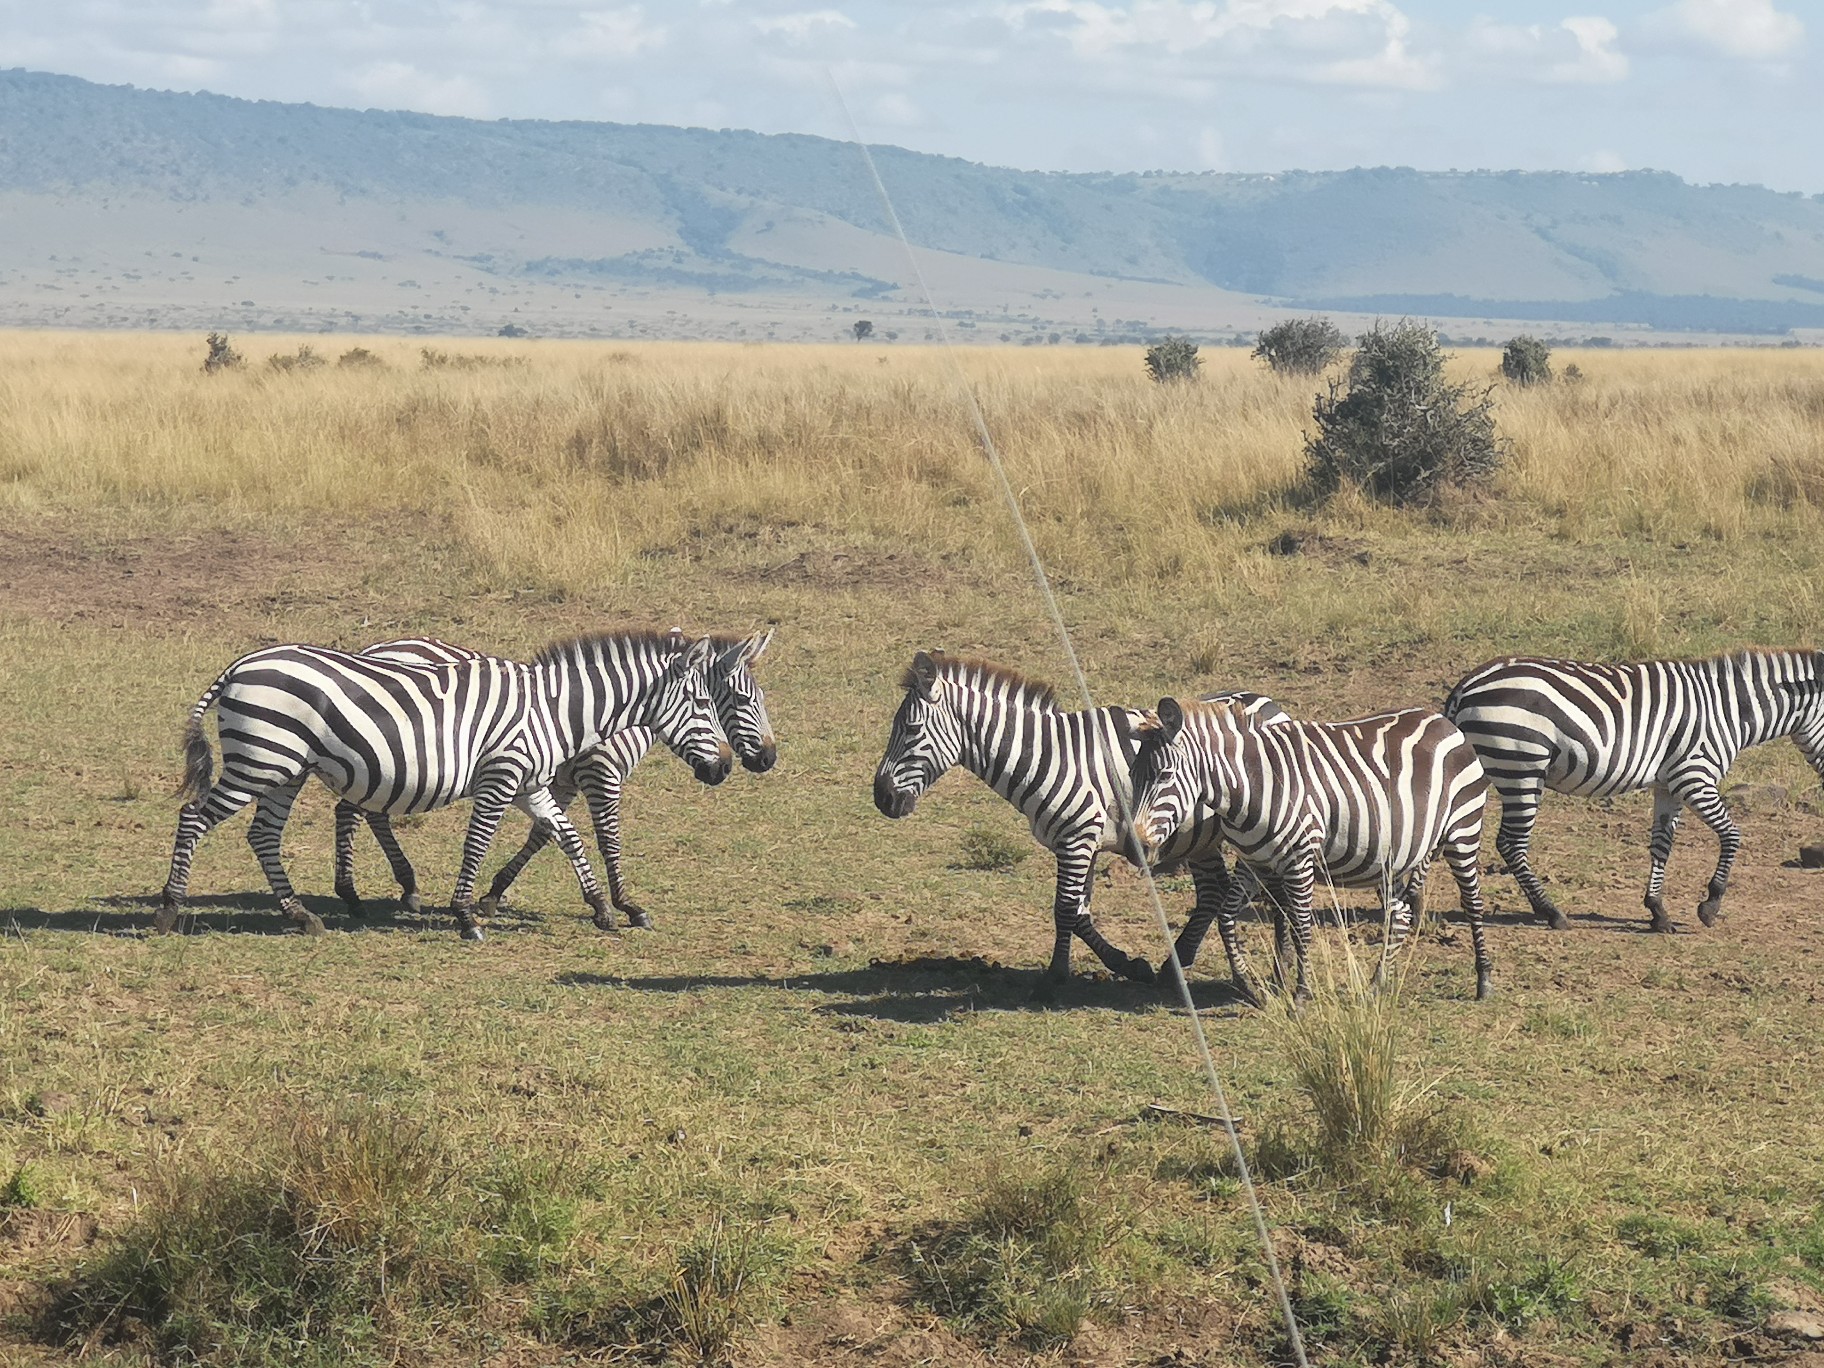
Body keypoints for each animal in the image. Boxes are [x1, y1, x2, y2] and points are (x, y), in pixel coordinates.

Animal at [155, 631, 725, 941]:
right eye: (703, 704)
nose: (722, 770)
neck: (552, 710)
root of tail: (240, 665)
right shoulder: (501, 778)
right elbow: (479, 843)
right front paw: (466, 915)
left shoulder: (531, 785)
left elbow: (568, 836)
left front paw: (604, 908)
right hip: (260, 760)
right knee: (194, 817)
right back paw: (169, 908)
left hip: (284, 768)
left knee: (264, 835)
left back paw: (301, 916)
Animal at [331, 634, 773, 933]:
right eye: (742, 700)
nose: (768, 759)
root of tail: (376, 649)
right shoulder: (600, 777)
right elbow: (606, 841)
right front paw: (626, 905)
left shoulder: (557, 782)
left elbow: (547, 833)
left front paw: (494, 894)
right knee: (351, 809)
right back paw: (361, 894)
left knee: (365, 811)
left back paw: (403, 887)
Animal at [871, 649, 1284, 984]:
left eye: (910, 729)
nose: (881, 798)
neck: (1050, 755)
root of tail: (1269, 702)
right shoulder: (1076, 842)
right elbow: (1081, 912)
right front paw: (1129, 965)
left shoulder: (1079, 838)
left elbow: (1065, 909)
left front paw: (1055, 979)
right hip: (1197, 838)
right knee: (1213, 890)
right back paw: (1175, 963)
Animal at [1123, 700, 1495, 999]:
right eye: (1134, 776)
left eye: (1164, 775)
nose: (1137, 847)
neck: (1252, 784)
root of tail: (1443, 720)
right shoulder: (1253, 861)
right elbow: (1226, 919)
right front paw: (1249, 986)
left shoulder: (1300, 859)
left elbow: (1301, 926)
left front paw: (1301, 994)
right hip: (1396, 857)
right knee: (1400, 915)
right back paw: (1377, 985)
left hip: (1463, 830)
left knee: (1472, 903)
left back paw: (1483, 981)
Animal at [1437, 649, 1824, 941]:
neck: (1730, 709)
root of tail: (1467, 683)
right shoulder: (1693, 776)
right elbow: (1732, 835)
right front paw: (1710, 905)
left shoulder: (1668, 785)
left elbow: (1661, 845)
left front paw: (1657, 911)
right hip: (1522, 767)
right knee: (1511, 843)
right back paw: (1552, 912)